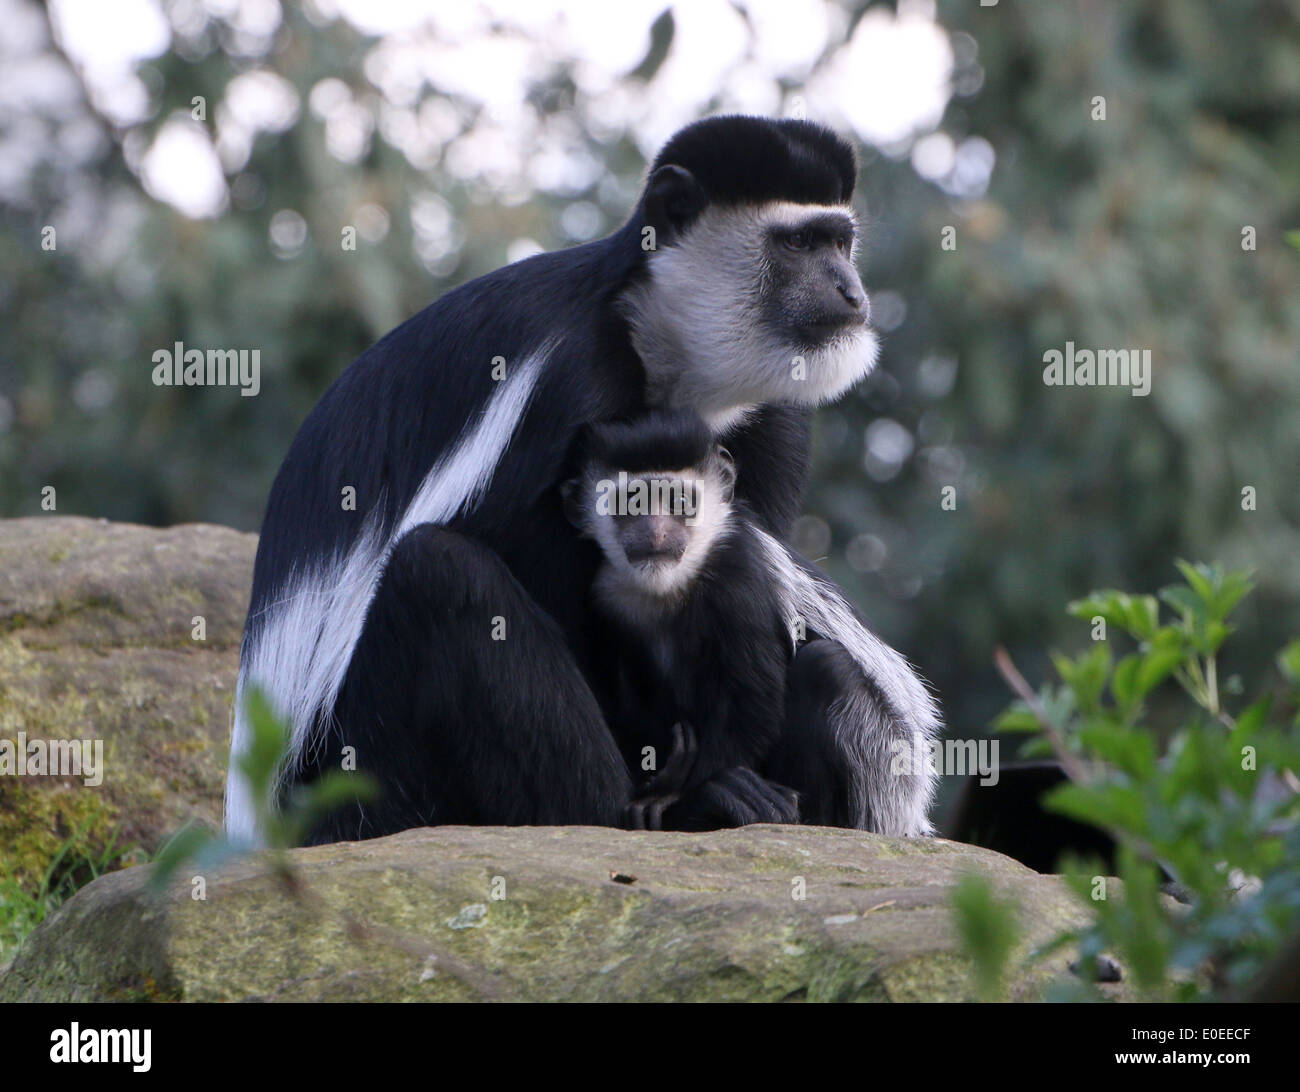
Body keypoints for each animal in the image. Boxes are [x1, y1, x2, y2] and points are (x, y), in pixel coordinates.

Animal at [224, 114, 941, 846]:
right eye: (797, 243)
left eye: (841, 242)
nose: (853, 294)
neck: (650, 337)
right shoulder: (564, 382)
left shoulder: (776, 416)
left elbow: (736, 583)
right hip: (357, 775)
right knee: (440, 574)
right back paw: (647, 812)